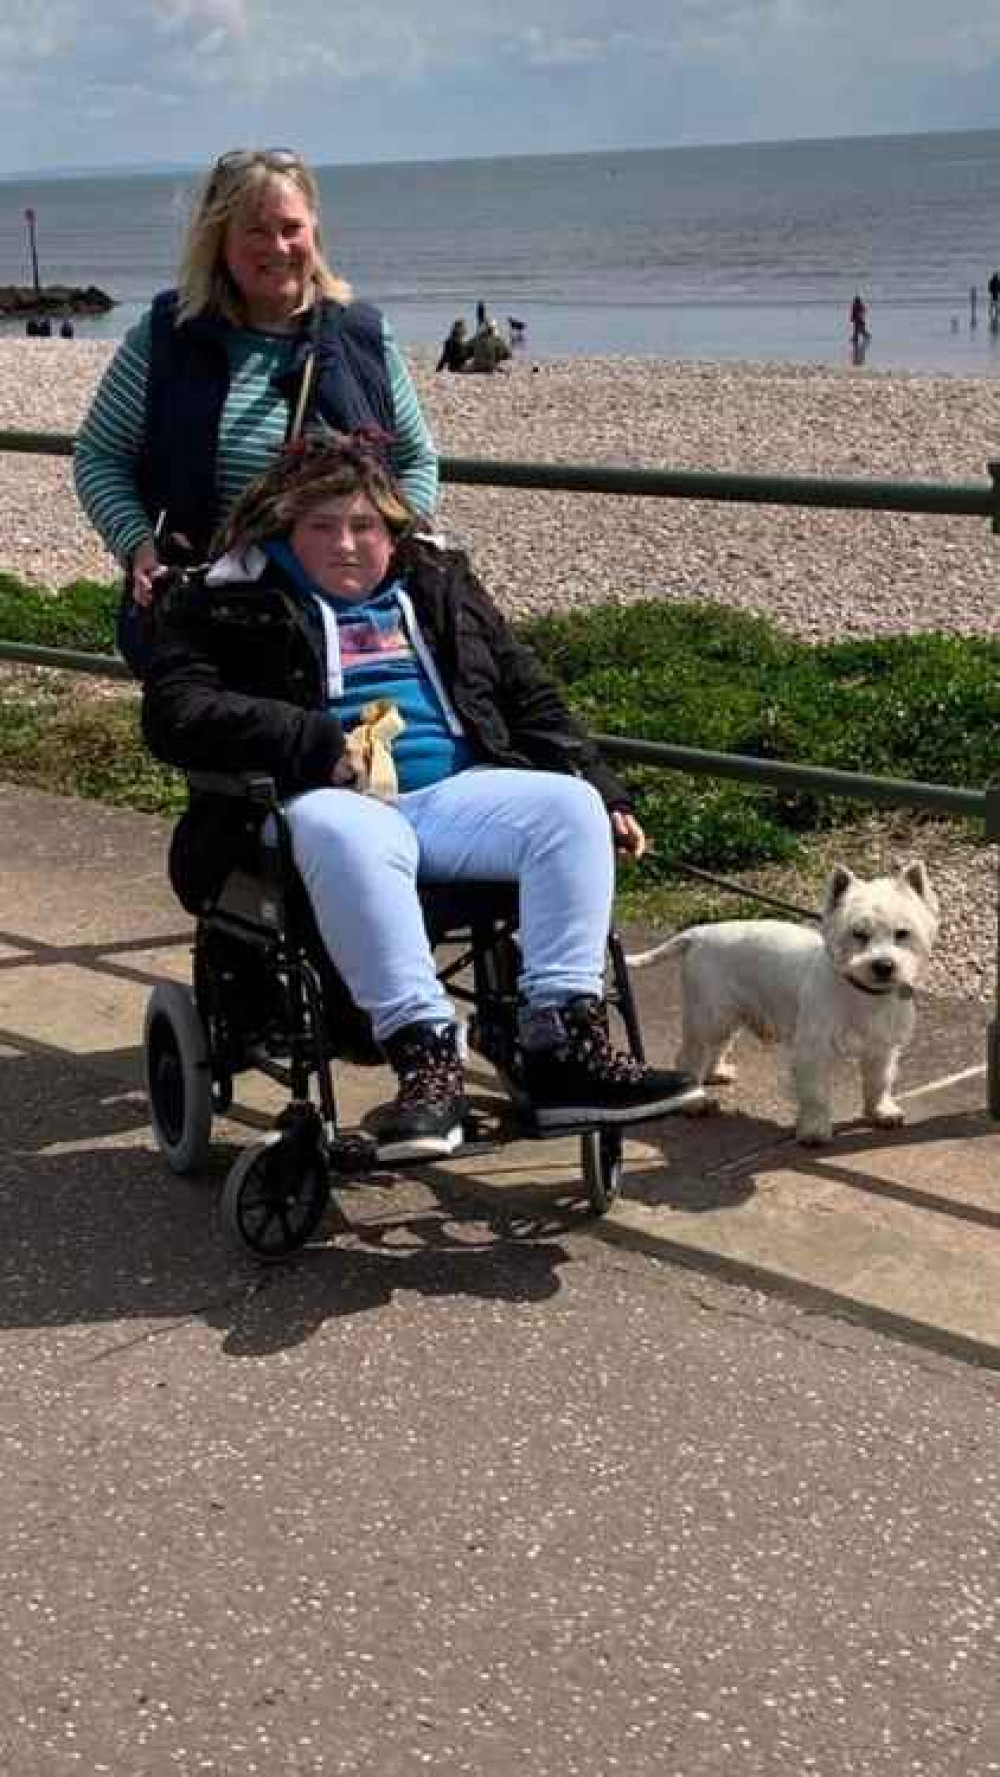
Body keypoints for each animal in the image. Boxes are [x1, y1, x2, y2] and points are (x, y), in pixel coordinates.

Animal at [628, 863, 944, 1144]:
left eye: (902, 933)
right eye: (858, 934)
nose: (884, 966)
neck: (862, 994)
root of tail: (698, 934)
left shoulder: (882, 1047)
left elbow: (879, 1082)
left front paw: (881, 1112)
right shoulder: (814, 1049)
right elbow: (816, 1094)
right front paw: (815, 1131)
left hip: (728, 1013)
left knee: (717, 1046)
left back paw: (718, 1072)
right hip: (709, 1013)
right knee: (689, 1057)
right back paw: (694, 1102)